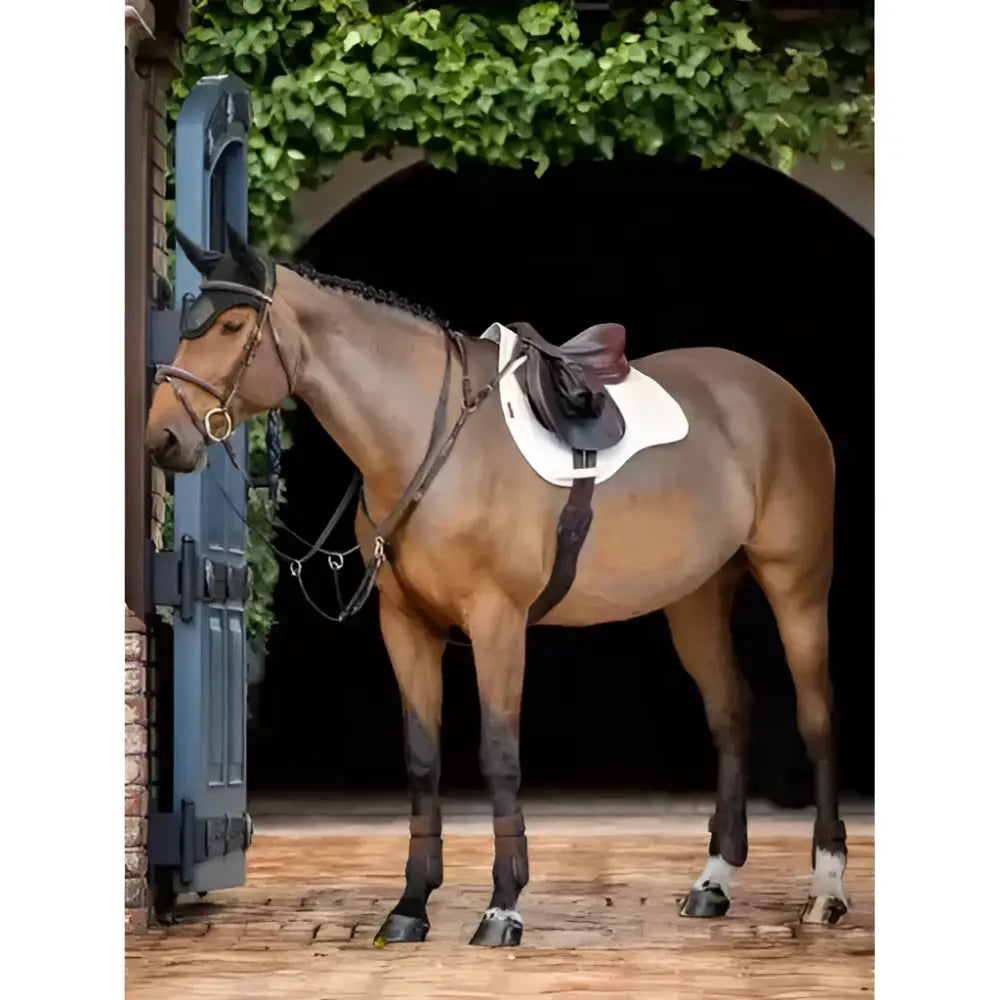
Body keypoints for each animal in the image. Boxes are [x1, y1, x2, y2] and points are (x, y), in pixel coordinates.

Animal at [145, 225, 850, 947]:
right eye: (190, 323)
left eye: (232, 325)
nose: (162, 437)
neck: (426, 439)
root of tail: (776, 393)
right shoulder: (405, 624)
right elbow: (422, 758)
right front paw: (410, 907)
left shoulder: (497, 621)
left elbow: (499, 753)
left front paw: (502, 907)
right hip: (697, 598)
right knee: (731, 714)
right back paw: (714, 882)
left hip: (796, 583)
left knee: (816, 717)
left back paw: (825, 890)